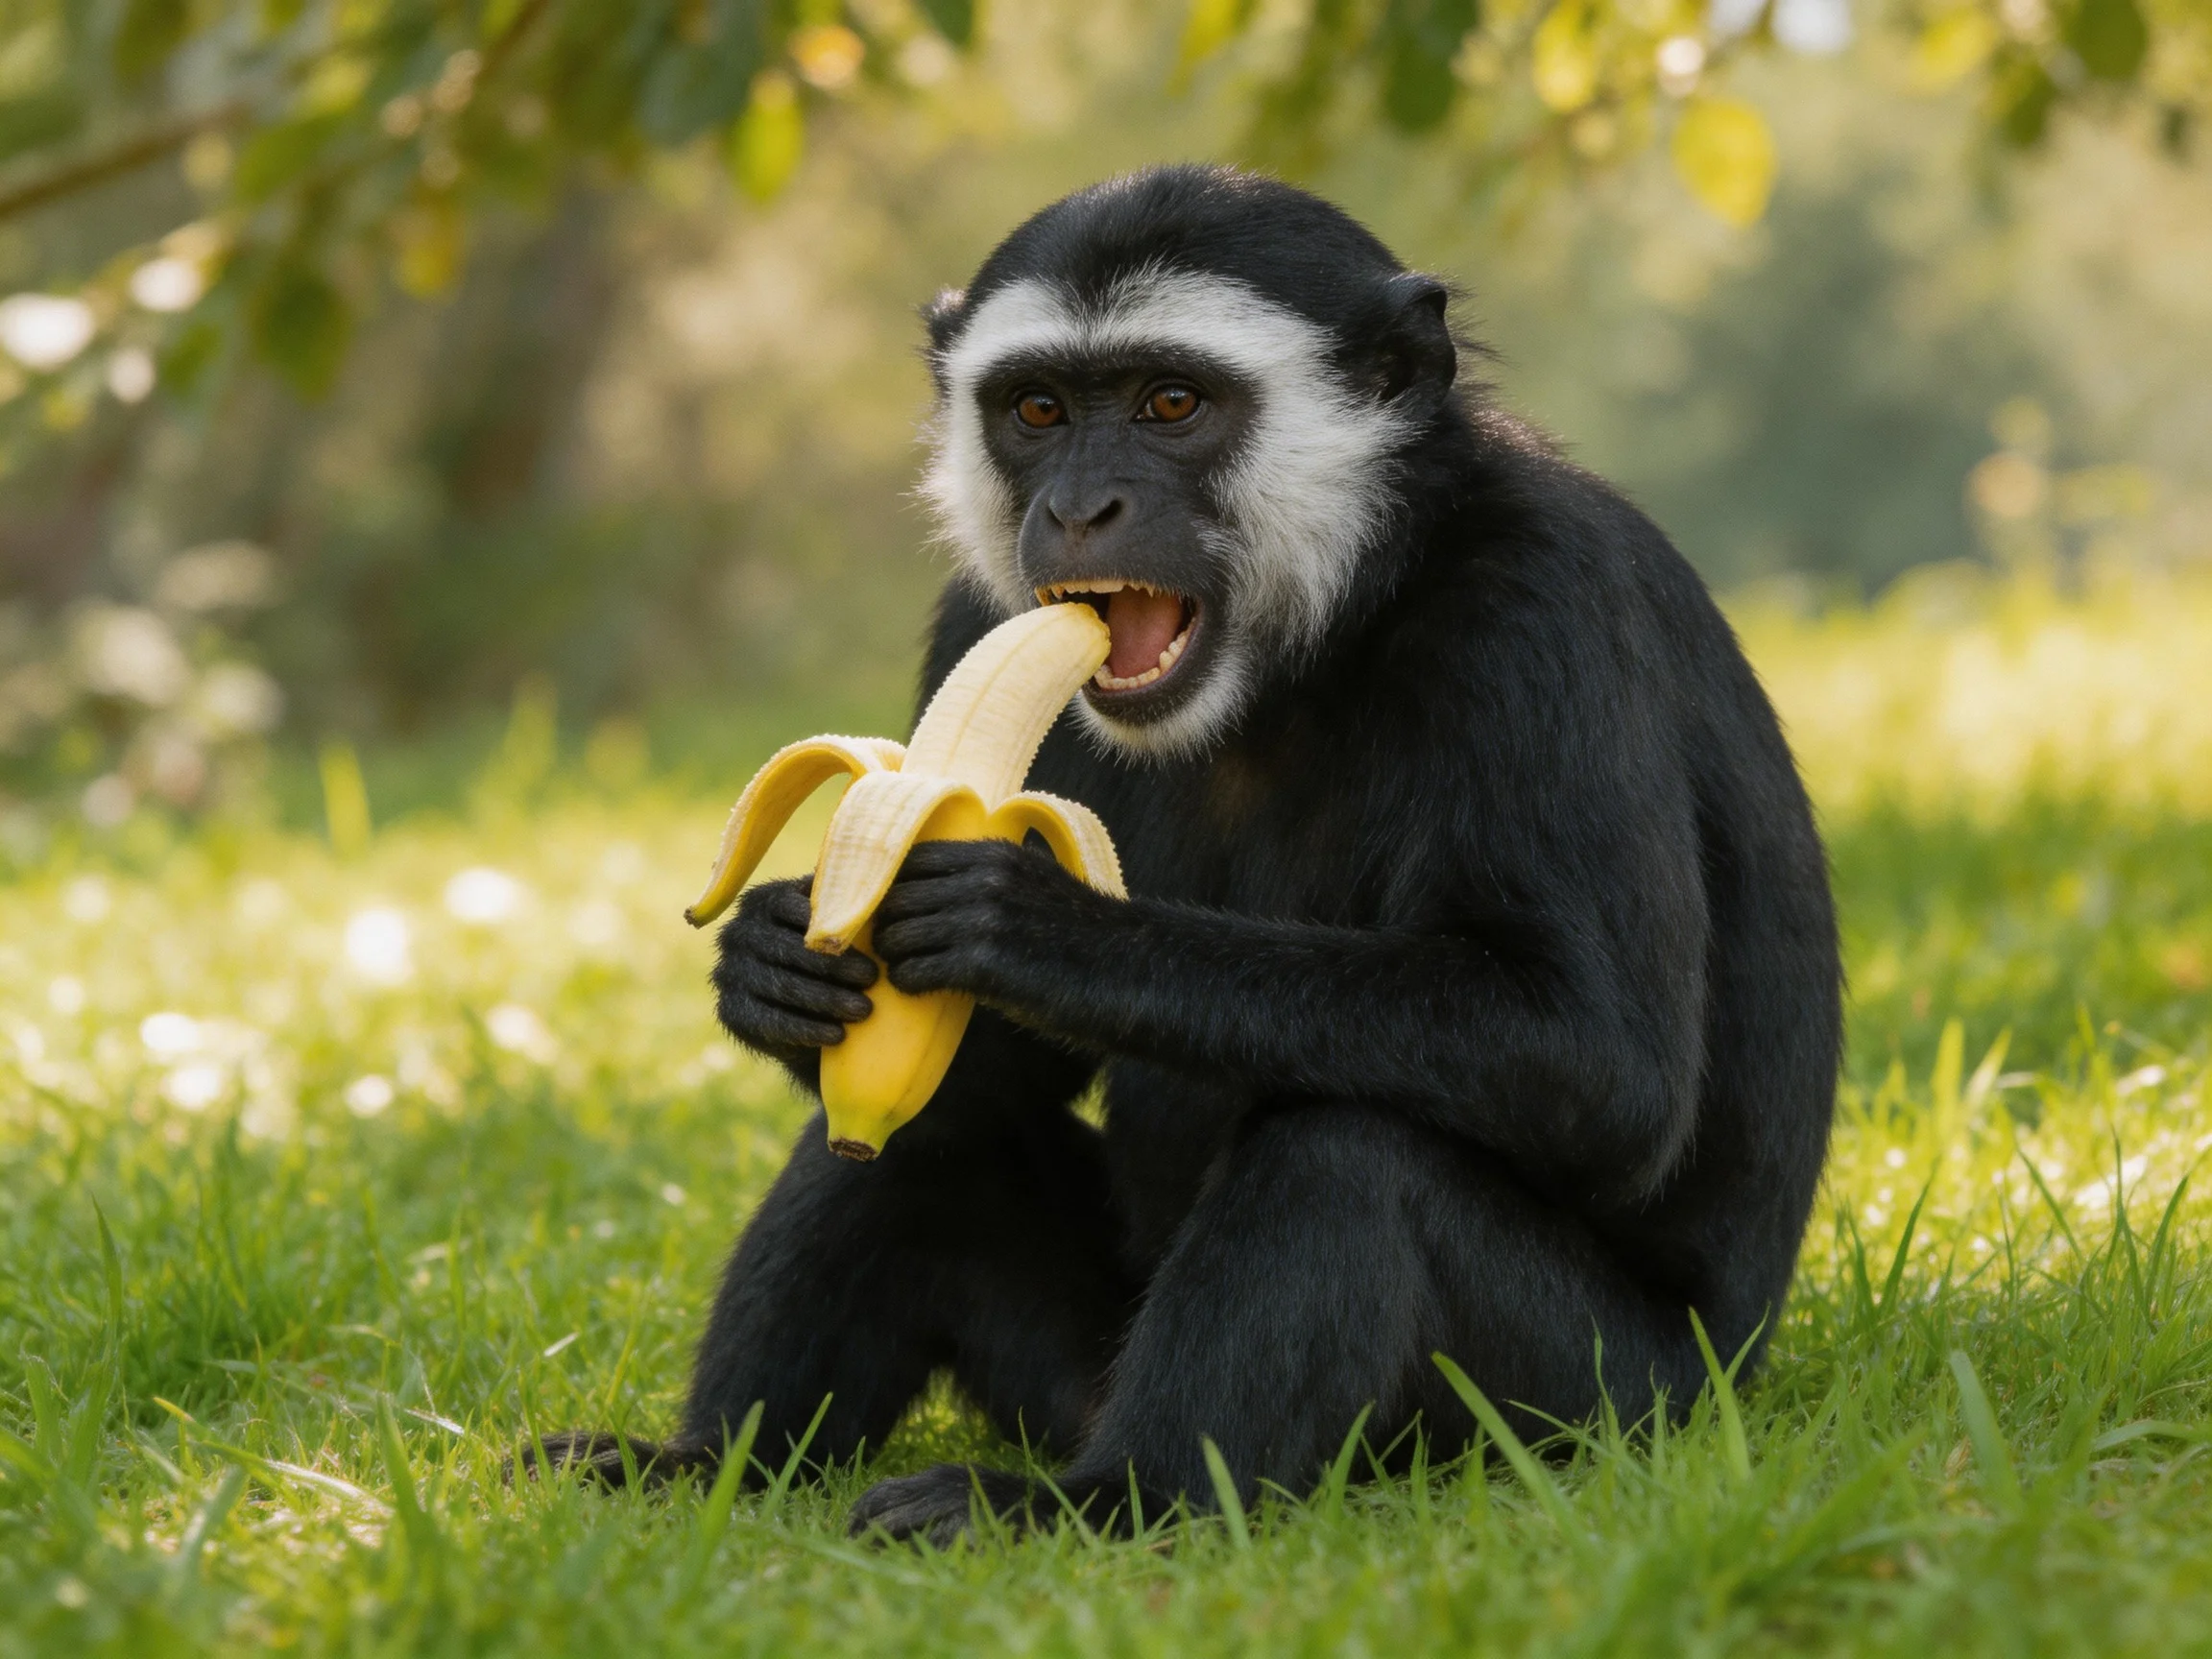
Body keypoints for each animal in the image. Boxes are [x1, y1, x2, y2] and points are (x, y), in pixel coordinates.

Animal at [526, 164, 1841, 1546]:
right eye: (1039, 411)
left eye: (1170, 404)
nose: (1077, 507)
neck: (1328, 623)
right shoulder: (980, 614)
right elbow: (972, 1082)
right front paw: (776, 972)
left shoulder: (1544, 596)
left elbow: (1603, 1059)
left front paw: (1044, 933)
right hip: (1074, 1372)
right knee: (910, 1144)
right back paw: (706, 1470)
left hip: (1599, 1406)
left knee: (1350, 1156)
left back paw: (1112, 1503)